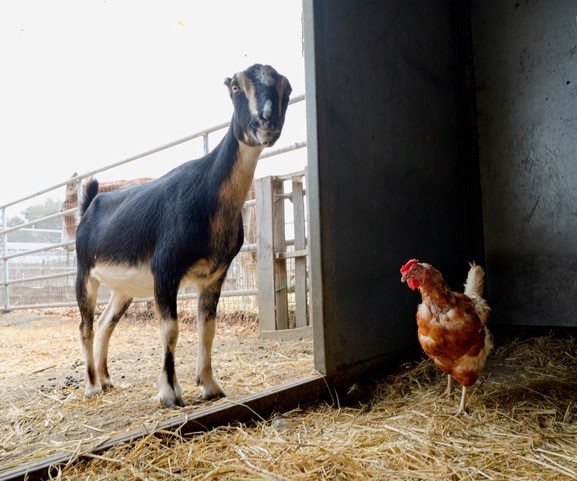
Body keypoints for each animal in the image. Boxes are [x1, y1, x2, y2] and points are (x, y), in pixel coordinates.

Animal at [75, 63, 292, 406]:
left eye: (287, 88)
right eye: (235, 87)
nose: (267, 121)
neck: (207, 193)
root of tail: (90, 202)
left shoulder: (214, 276)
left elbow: (207, 328)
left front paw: (210, 385)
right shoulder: (165, 270)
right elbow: (171, 330)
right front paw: (169, 393)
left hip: (124, 288)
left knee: (105, 321)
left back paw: (107, 379)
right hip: (84, 272)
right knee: (85, 326)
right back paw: (93, 385)